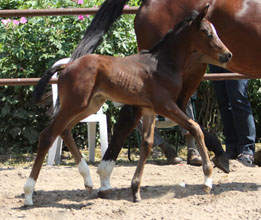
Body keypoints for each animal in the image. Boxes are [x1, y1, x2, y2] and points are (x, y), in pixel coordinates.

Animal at [23, 6, 231, 205]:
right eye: (208, 33)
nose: (227, 55)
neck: (162, 64)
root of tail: (66, 66)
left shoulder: (149, 110)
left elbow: (147, 144)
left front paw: (135, 190)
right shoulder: (165, 105)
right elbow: (195, 128)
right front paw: (208, 180)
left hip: (90, 105)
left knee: (64, 130)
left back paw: (88, 180)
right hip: (75, 104)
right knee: (48, 135)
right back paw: (28, 194)